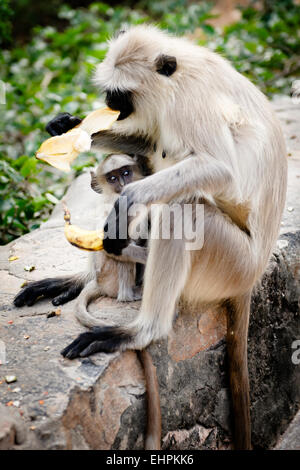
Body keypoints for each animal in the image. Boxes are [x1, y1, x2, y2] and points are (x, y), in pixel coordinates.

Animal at [47, 23, 286, 450]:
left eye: (119, 94)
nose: (108, 103)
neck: (181, 70)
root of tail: (254, 274)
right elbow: (147, 142)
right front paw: (69, 126)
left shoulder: (190, 101)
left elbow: (219, 169)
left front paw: (127, 202)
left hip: (232, 261)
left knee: (183, 208)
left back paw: (141, 329)